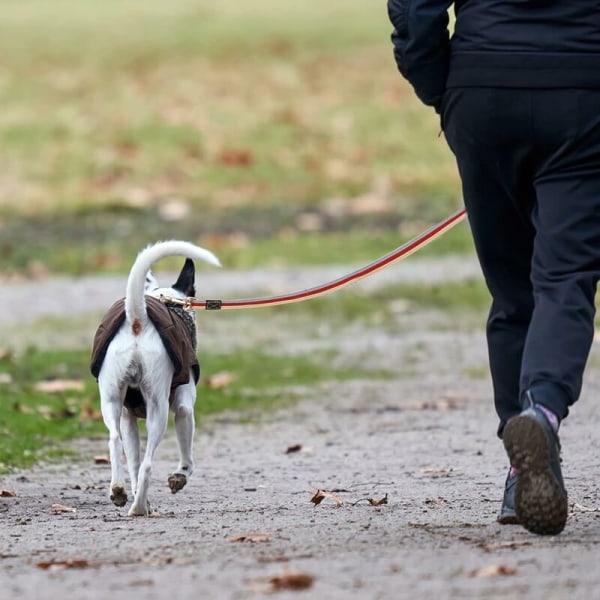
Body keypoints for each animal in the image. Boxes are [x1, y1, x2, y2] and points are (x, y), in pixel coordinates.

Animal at [89, 239, 220, 516]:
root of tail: (138, 319)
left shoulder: (128, 418)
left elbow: (133, 464)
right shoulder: (184, 408)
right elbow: (186, 458)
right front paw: (180, 476)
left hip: (111, 401)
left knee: (115, 442)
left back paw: (120, 492)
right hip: (158, 411)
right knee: (148, 464)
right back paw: (138, 508)